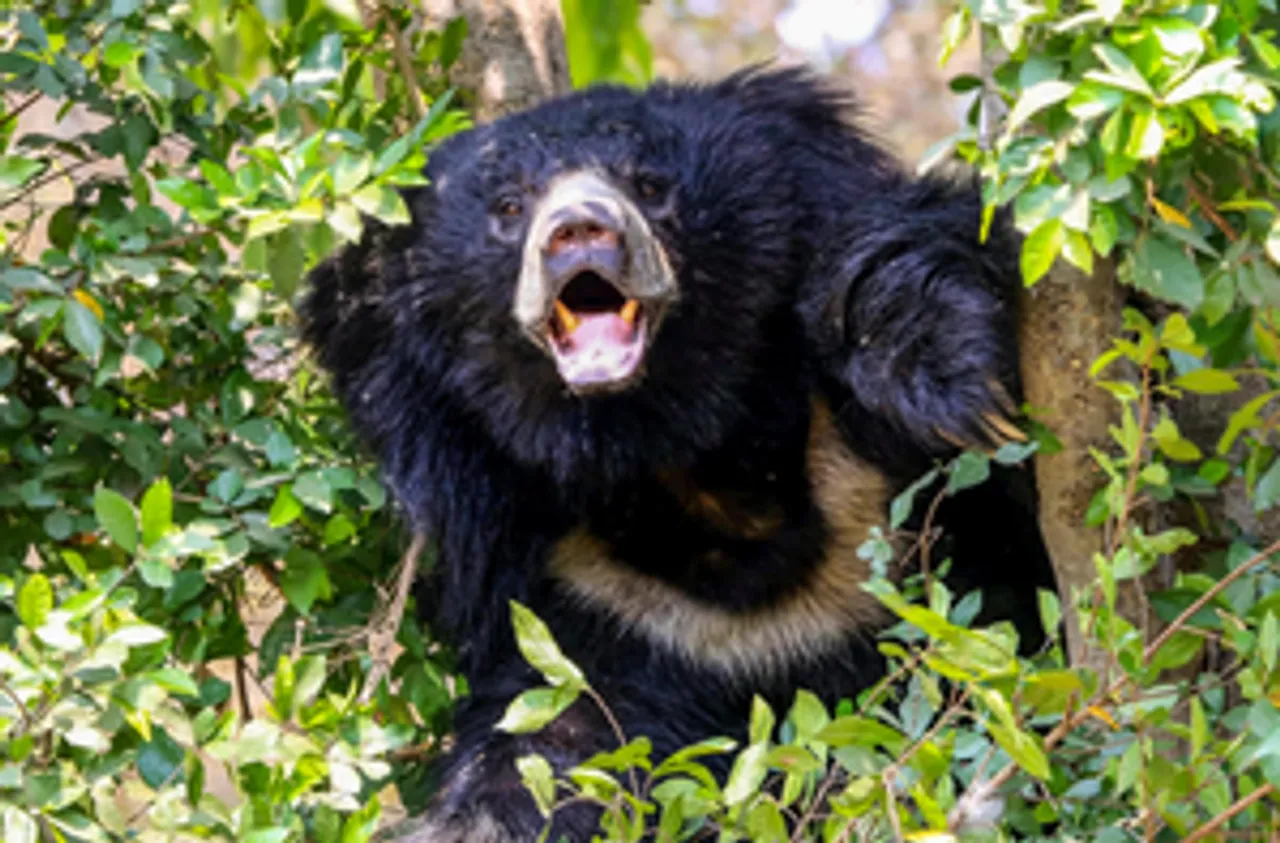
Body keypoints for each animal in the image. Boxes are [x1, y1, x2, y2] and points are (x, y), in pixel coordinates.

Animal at [299, 65, 1057, 842]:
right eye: (509, 206)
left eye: (651, 185)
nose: (580, 230)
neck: (686, 459)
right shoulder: (595, 601)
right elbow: (557, 748)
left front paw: (949, 376)